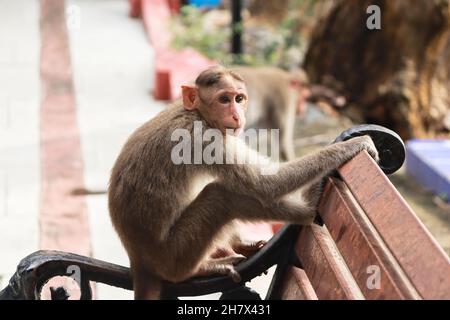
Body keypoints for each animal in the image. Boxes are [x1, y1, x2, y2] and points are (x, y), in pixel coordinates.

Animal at [107, 65, 378, 300]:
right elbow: (264, 184)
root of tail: (139, 261)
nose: (237, 115)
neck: (196, 113)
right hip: (175, 256)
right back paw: (307, 209)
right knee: (221, 197)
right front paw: (353, 144)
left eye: (239, 98)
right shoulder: (208, 140)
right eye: (223, 99)